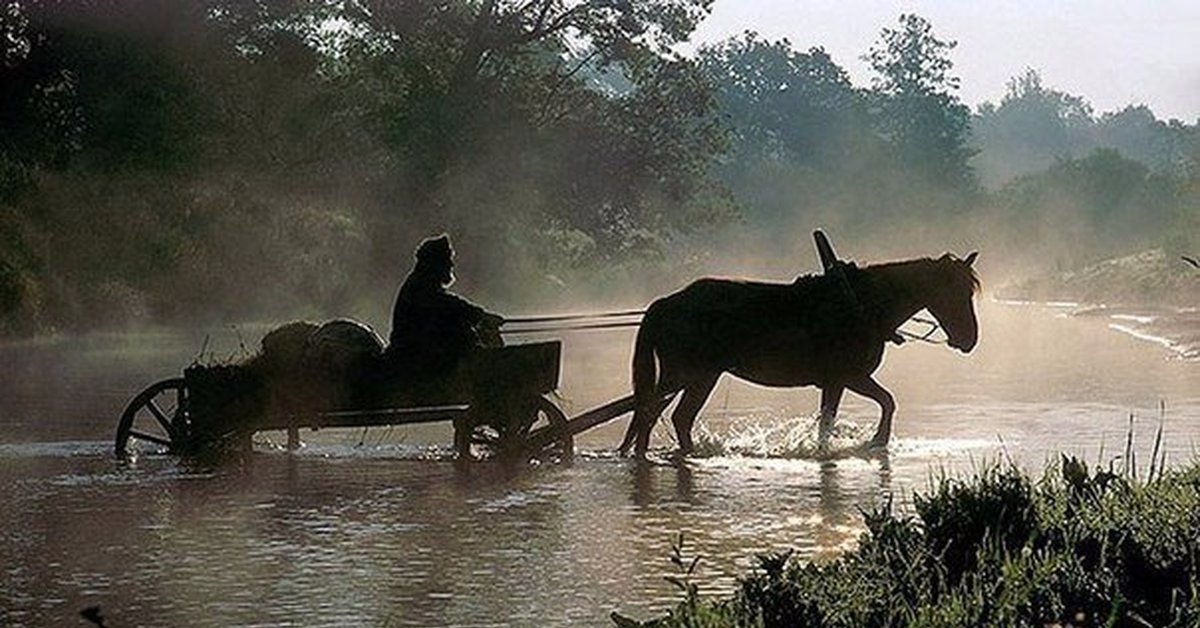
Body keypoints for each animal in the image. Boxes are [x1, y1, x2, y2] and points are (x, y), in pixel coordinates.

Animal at [619, 250, 974, 456]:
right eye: (956, 292)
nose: (969, 339)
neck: (861, 304)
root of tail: (665, 303)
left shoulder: (836, 382)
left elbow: (829, 421)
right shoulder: (849, 376)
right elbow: (886, 401)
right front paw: (878, 439)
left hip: (695, 378)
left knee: (668, 417)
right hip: (689, 376)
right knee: (653, 414)